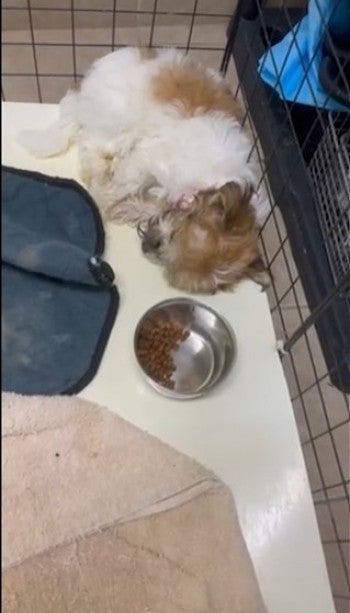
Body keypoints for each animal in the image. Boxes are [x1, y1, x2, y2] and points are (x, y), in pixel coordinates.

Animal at [17, 46, 270, 292]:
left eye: (171, 263)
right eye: (176, 233)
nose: (149, 245)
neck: (210, 181)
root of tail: (83, 87)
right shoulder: (149, 159)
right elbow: (125, 183)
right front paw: (105, 202)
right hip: (117, 123)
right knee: (92, 144)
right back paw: (99, 173)